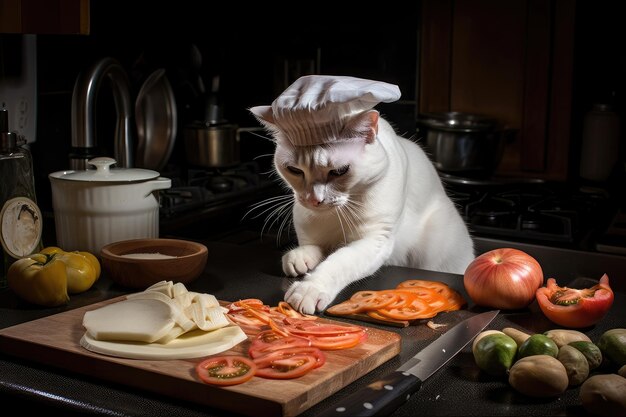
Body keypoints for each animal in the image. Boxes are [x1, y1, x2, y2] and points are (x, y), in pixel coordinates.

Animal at [249, 76, 472, 314]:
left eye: (339, 171)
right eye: (294, 170)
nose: (314, 200)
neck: (334, 216)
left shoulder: (376, 239)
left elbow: (339, 261)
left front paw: (310, 289)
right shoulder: (306, 219)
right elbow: (313, 246)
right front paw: (299, 257)